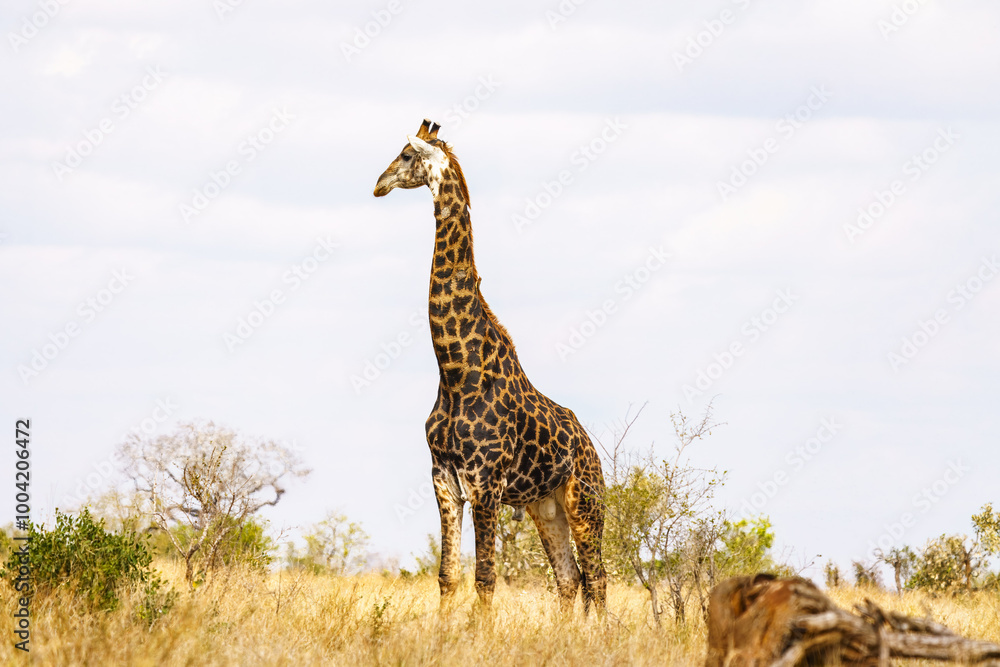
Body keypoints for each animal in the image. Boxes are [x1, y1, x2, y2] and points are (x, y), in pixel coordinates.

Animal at [373, 119, 607, 613]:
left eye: (406, 154)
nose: (378, 184)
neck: (455, 370)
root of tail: (591, 448)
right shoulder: (444, 478)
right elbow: (447, 577)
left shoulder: (486, 482)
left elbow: (485, 578)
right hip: (546, 507)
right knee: (569, 578)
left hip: (584, 501)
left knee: (597, 579)